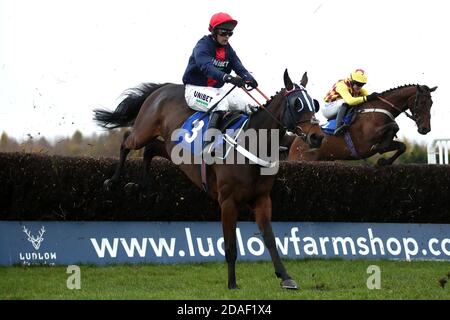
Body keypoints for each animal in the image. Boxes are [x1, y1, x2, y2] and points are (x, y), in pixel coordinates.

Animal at [93, 70, 322, 290]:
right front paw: (232, 284)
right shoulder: (228, 202)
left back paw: (137, 186)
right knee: (126, 142)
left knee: (150, 150)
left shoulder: (262, 199)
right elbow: (230, 245)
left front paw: (286, 277)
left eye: (314, 103)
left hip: (172, 148)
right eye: (297, 103)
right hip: (144, 131)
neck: (251, 144)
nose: (317, 136)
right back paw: (112, 181)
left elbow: (270, 239)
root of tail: (163, 88)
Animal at [286, 84, 438, 165]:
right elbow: (394, 126)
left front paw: (384, 161)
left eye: (431, 103)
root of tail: (295, 143)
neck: (380, 109)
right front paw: (380, 148)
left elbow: (402, 146)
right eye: (421, 102)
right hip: (302, 159)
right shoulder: (366, 140)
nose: (425, 129)